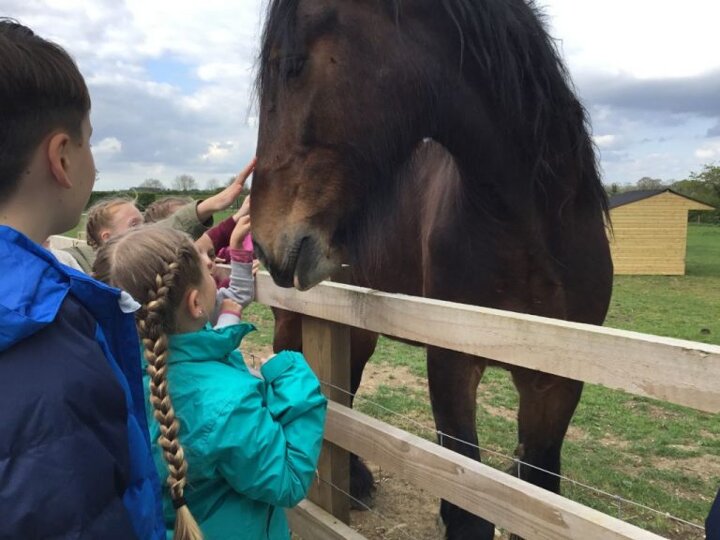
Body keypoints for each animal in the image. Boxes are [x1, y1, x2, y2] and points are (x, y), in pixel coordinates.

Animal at [250, 1, 613, 539]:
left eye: (292, 65)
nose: (265, 239)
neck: (532, 229)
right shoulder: (451, 364)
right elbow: (468, 506)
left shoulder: (557, 382)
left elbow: (537, 489)